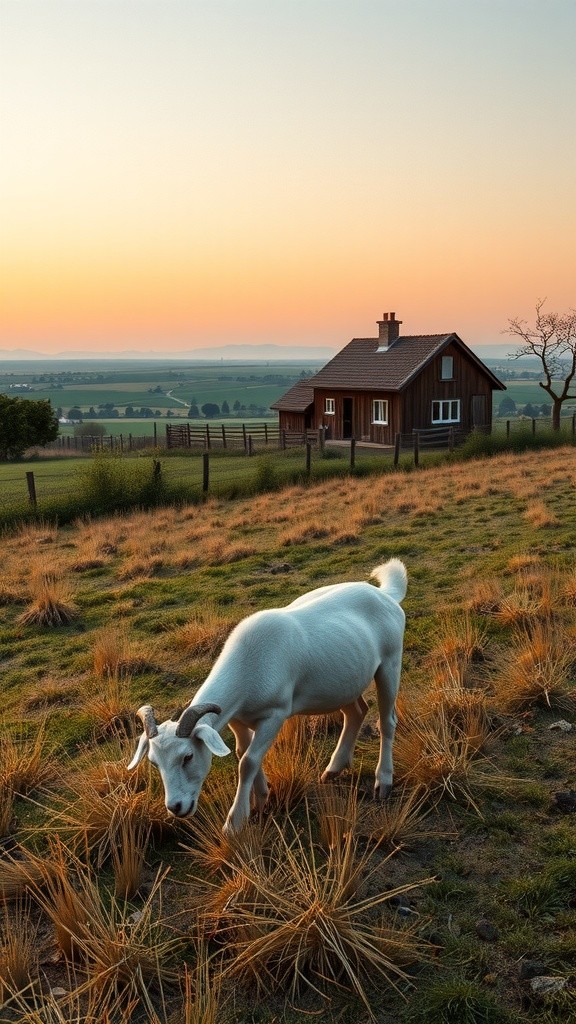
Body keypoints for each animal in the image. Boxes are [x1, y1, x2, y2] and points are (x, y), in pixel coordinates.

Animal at [128, 559, 407, 834]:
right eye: (154, 762)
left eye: (188, 756)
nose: (176, 807)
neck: (246, 664)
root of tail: (385, 594)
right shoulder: (237, 718)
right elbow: (243, 752)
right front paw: (261, 798)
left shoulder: (275, 715)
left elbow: (249, 761)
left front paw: (234, 823)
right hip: (344, 681)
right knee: (356, 712)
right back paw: (334, 769)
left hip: (390, 663)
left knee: (387, 721)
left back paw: (383, 781)